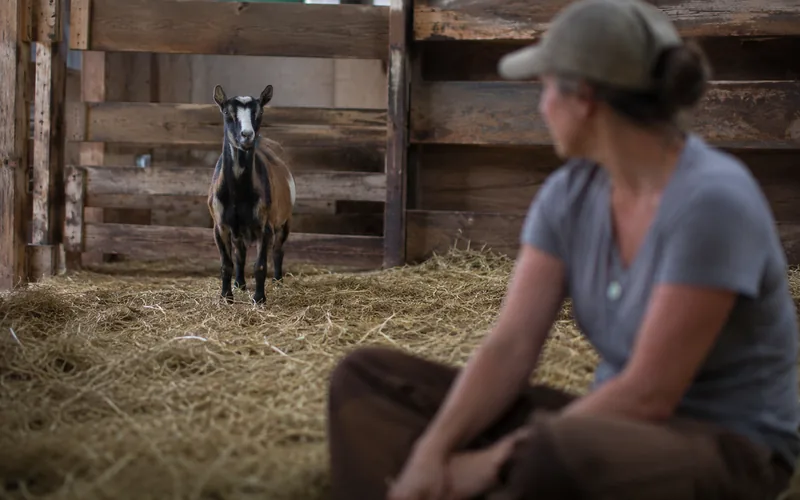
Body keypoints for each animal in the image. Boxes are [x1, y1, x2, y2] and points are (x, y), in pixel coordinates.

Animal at [207, 84, 296, 304]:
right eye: (227, 113)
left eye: (260, 112)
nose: (247, 135)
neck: (238, 193)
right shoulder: (220, 225)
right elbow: (227, 263)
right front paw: (226, 297)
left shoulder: (265, 225)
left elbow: (260, 265)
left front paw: (259, 298)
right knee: (240, 253)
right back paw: (239, 283)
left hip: (285, 219)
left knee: (278, 250)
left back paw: (278, 281)